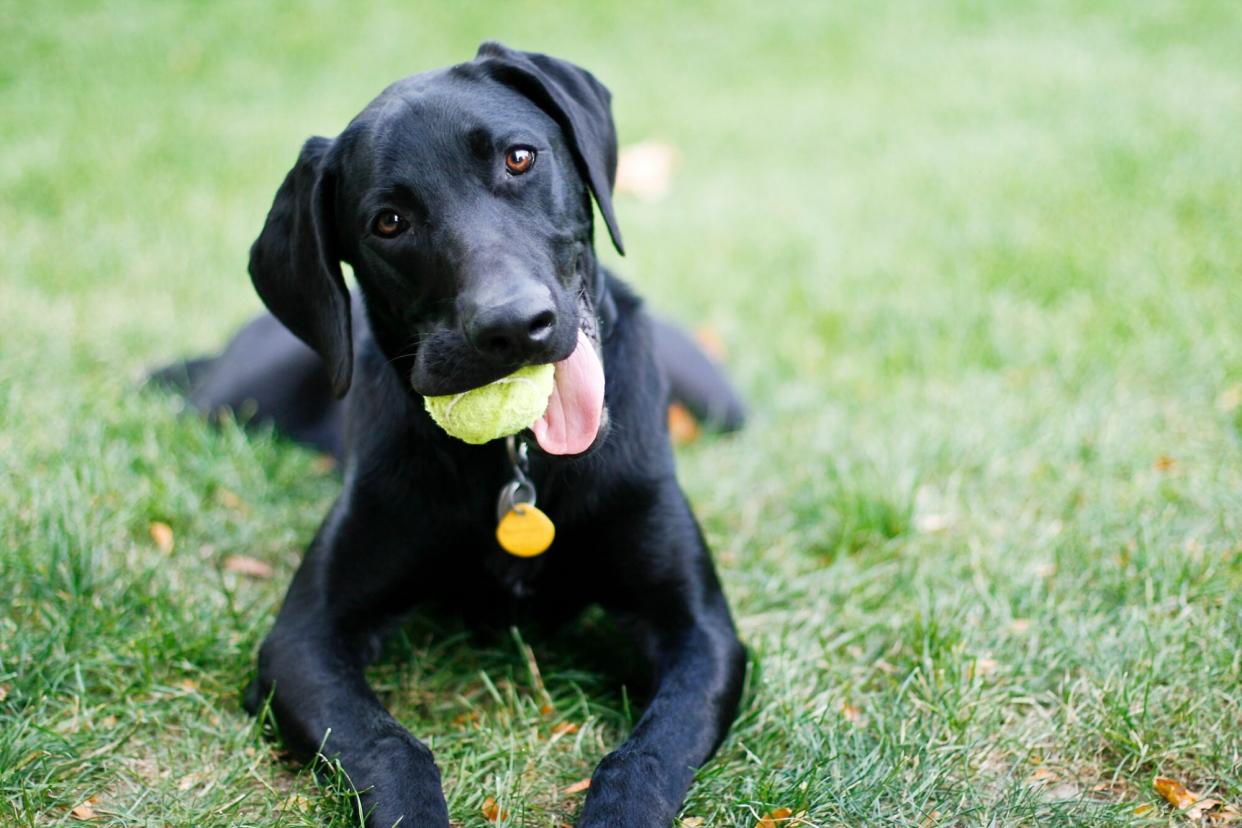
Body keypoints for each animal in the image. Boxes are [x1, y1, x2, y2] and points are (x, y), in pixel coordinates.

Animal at [160, 42, 740, 824]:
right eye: (388, 222)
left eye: (520, 158)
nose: (514, 327)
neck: (520, 459)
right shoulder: (303, 640)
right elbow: (389, 745)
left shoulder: (700, 631)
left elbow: (647, 753)